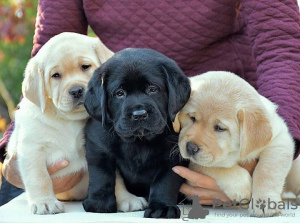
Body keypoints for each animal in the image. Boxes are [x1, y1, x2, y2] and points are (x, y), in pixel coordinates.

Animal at [6, 32, 147, 214]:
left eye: (85, 66)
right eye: (56, 75)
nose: (77, 91)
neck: (69, 121)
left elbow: (115, 179)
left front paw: (127, 199)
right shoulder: (32, 149)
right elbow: (39, 178)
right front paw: (45, 202)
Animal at [82, 48, 190, 218]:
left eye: (152, 89)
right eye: (119, 93)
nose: (139, 114)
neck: (139, 141)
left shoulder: (173, 157)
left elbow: (165, 181)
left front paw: (162, 206)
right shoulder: (97, 146)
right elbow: (101, 173)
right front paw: (99, 202)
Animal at [173, 71, 296, 216]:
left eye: (219, 128)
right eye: (192, 118)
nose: (191, 148)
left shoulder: (280, 140)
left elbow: (267, 171)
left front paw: (264, 202)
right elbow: (215, 167)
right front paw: (242, 186)